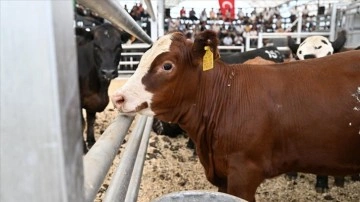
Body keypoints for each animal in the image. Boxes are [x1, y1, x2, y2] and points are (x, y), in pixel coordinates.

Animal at [76, 22, 124, 151]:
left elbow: (91, 120)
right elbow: (81, 123)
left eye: (119, 46)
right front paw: (83, 148)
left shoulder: (93, 101)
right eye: (96, 46)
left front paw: (91, 141)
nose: (108, 72)